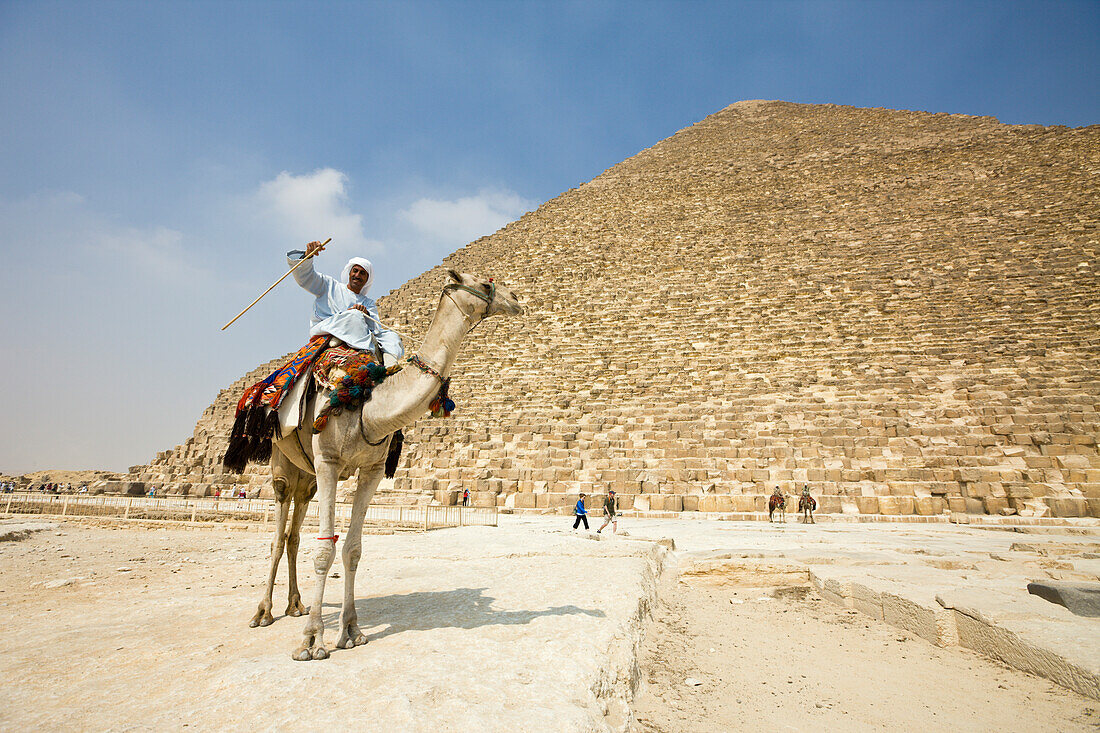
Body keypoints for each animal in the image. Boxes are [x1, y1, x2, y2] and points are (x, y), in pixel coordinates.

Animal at [249, 268, 523, 655]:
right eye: (484, 284)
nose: (516, 299)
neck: (369, 406)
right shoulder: (329, 462)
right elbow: (325, 550)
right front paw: (313, 640)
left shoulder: (372, 471)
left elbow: (352, 549)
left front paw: (351, 630)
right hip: (283, 467)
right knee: (277, 535)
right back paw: (264, 611)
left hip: (308, 478)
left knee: (293, 536)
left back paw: (296, 604)